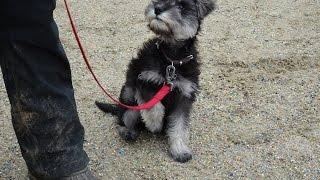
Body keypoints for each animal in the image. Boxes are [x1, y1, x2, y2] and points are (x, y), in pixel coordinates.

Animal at [95, 0, 215, 163]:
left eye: (182, 6)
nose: (157, 9)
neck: (172, 59)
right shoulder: (145, 81)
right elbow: (154, 106)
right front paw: (154, 124)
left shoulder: (184, 97)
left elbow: (179, 125)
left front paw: (179, 149)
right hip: (128, 96)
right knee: (123, 118)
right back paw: (127, 131)